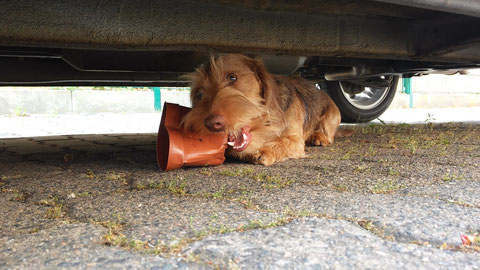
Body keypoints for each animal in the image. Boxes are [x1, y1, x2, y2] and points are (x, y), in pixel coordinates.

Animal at [181, 54, 342, 166]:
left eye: (232, 77)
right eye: (199, 93)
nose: (212, 123)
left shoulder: (295, 140)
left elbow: (283, 142)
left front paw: (265, 150)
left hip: (332, 116)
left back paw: (319, 137)